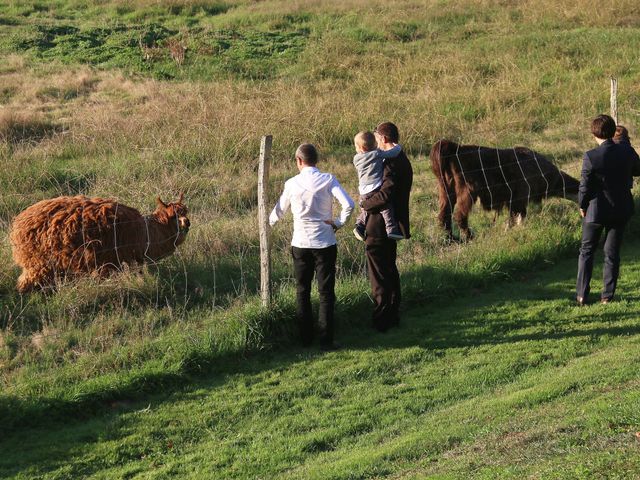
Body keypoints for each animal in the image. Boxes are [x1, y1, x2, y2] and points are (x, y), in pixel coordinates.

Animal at [9, 192, 190, 290]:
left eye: (186, 212)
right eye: (174, 216)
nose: (187, 223)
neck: (145, 233)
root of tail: (18, 224)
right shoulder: (107, 263)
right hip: (37, 263)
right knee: (24, 285)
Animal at [430, 141, 580, 242]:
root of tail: (455, 149)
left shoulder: (517, 198)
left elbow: (519, 215)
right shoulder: (519, 195)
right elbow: (515, 216)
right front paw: (509, 231)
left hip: (445, 188)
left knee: (444, 214)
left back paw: (451, 238)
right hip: (467, 190)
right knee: (459, 216)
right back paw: (469, 236)